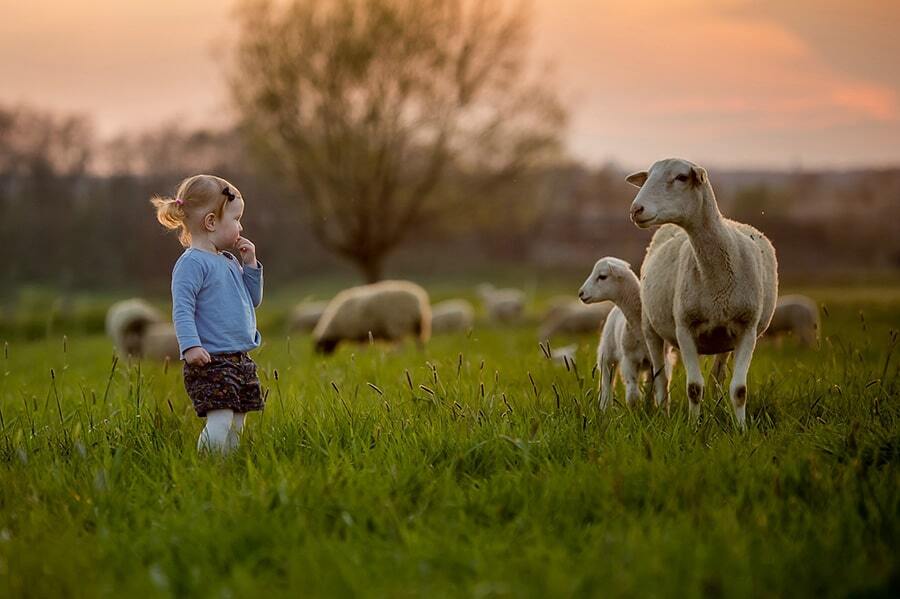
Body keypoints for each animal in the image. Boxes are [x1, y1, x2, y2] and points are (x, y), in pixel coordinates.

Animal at [580, 255, 652, 410]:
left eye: (602, 276)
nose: (580, 293)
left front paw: (650, 409)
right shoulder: (629, 358)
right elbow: (632, 394)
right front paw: (635, 412)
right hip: (607, 352)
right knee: (606, 382)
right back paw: (604, 407)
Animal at [624, 158, 780, 426]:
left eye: (681, 177)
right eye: (647, 177)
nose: (636, 210)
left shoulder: (747, 328)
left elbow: (739, 390)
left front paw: (741, 428)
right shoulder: (684, 327)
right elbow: (694, 388)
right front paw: (694, 427)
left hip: (725, 340)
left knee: (718, 377)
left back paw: (717, 409)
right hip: (650, 327)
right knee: (661, 378)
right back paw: (664, 413)